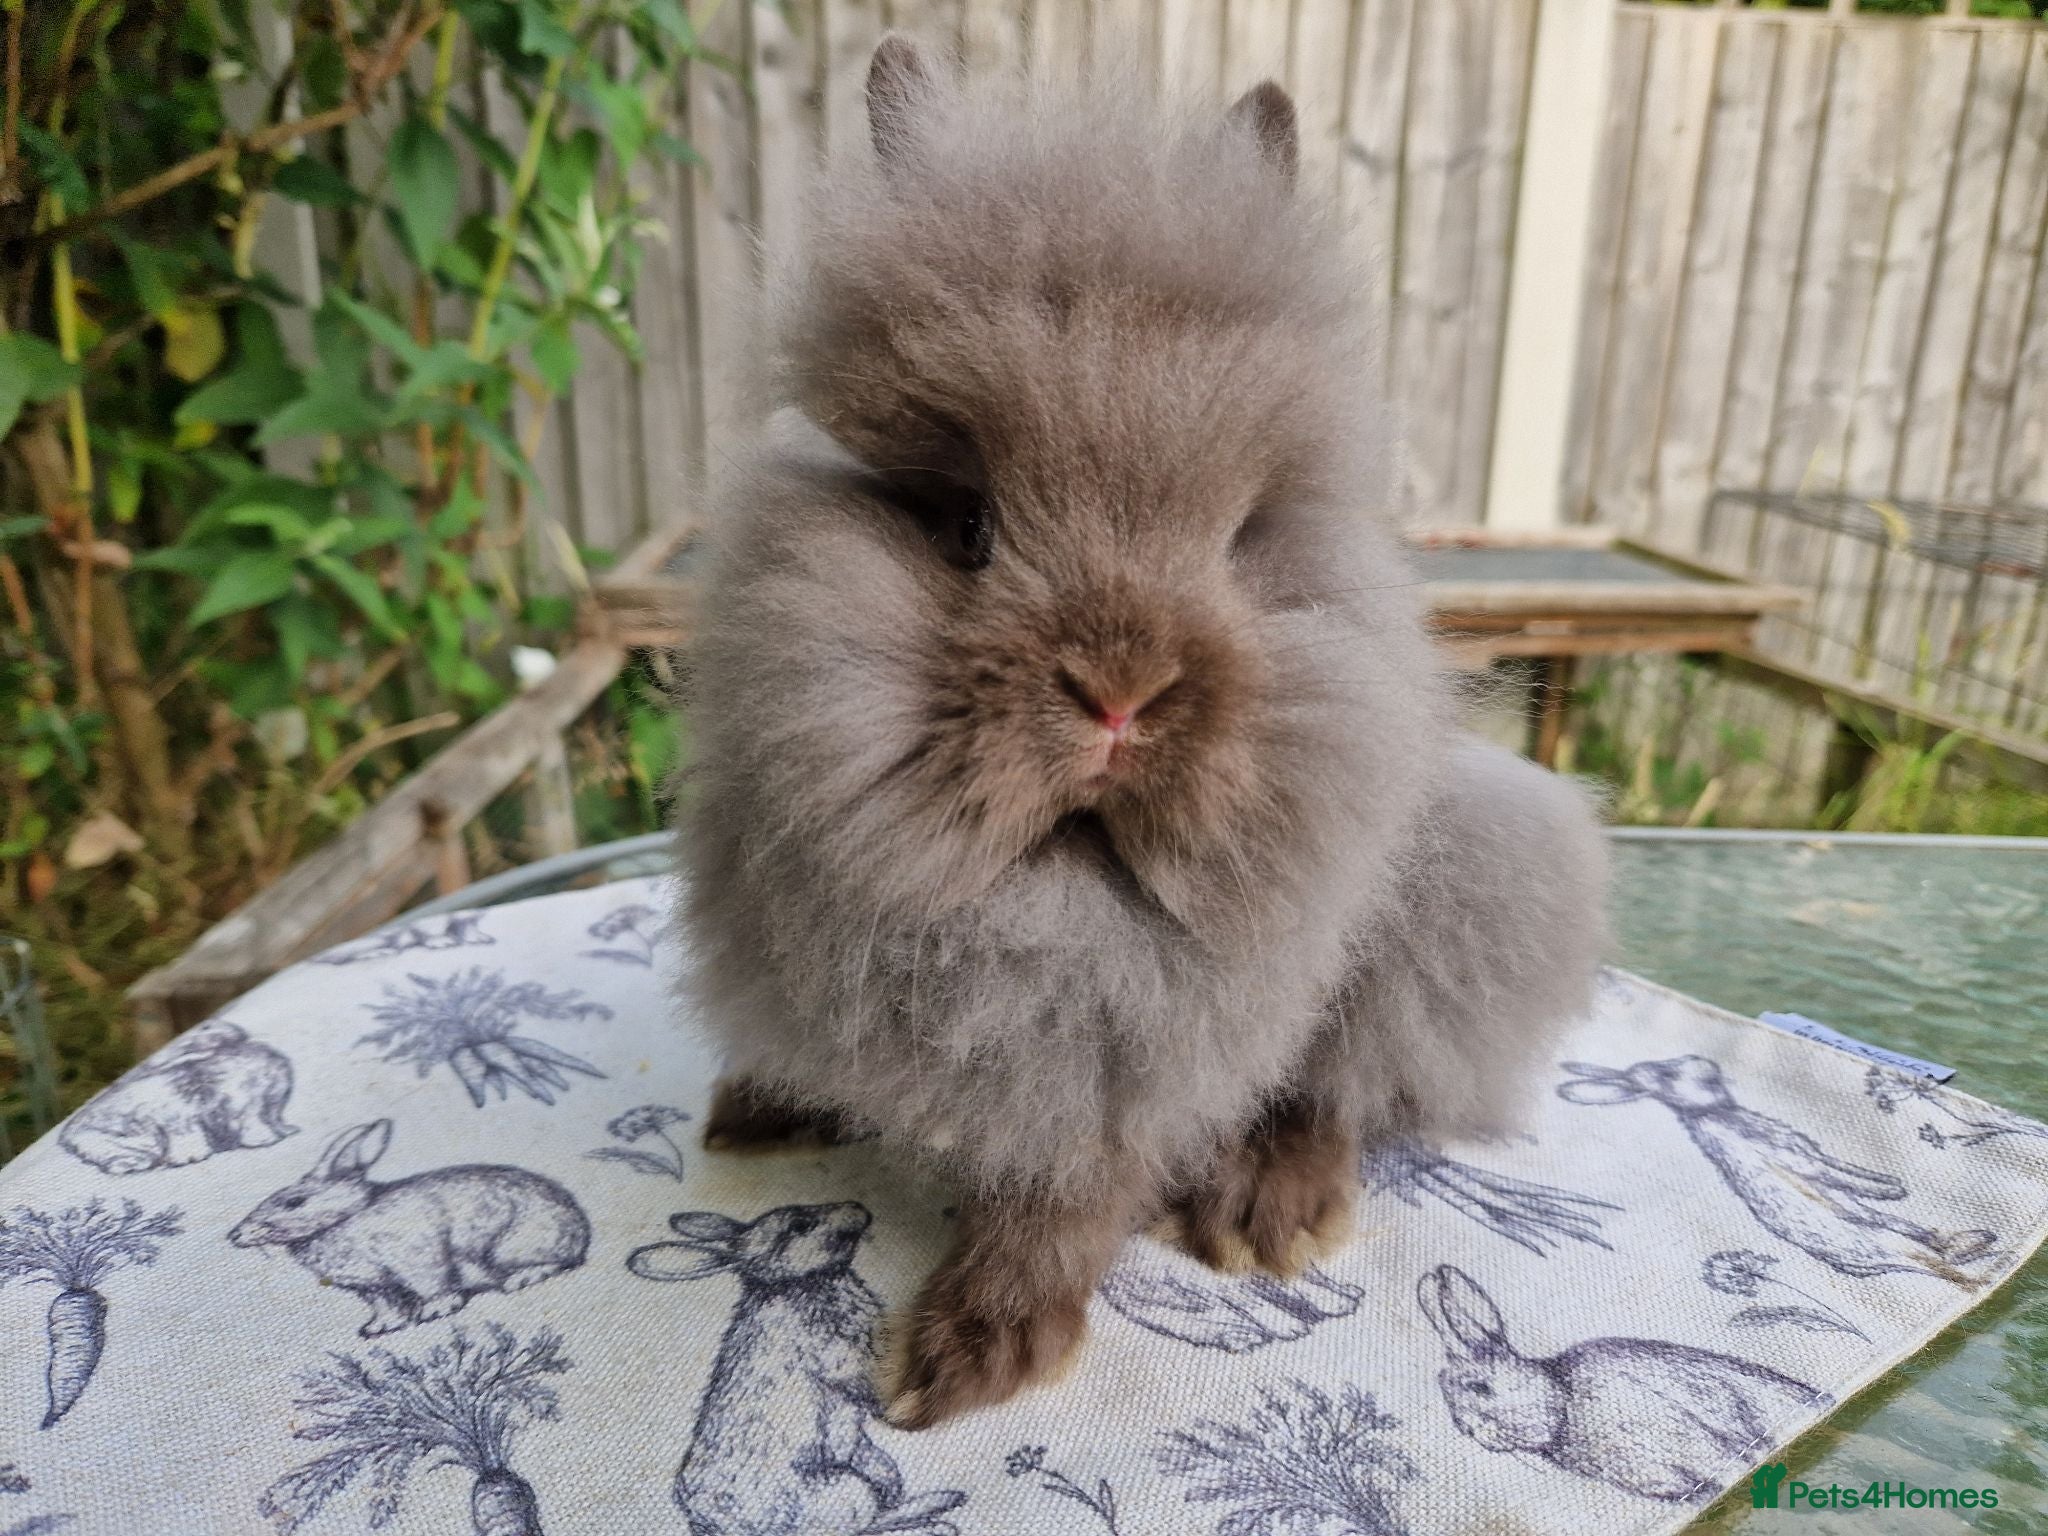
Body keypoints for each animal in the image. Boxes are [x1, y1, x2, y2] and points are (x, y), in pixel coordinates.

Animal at [59, 1018, 296, 1175]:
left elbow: (271, 1120)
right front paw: (266, 1140)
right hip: (131, 1136)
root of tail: (68, 1137)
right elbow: (254, 1124)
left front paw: (286, 1131)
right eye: (206, 1027)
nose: (234, 1030)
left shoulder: (266, 1106)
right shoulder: (241, 1107)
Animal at [228, 1119, 589, 1336]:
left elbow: (434, 1286)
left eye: (294, 1202)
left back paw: (522, 1279)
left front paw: (436, 1311)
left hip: (514, 1244)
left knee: (555, 1262)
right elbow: (386, 1306)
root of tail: (581, 1230)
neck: (345, 1217)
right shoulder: (375, 1289)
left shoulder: (418, 1258)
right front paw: (378, 1328)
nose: (234, 1235)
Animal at [629, 1202, 968, 1536]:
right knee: (863, 1524)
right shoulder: (840, 1360)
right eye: (800, 1225)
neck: (801, 1283)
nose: (859, 1208)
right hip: (845, 1493)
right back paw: (939, 1514)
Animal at [677, 34, 1608, 1426]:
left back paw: (1266, 1217)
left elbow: (1066, 1198)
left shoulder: (1126, 1071)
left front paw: (969, 1358)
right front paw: (762, 1106)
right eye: (969, 527)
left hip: (1469, 881)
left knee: (1341, 1085)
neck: (1046, 889)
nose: (1121, 693)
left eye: (1232, 542)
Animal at [1558, 1056, 2001, 1284]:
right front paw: (1890, 1189)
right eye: (1667, 1074)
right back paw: (1967, 1248)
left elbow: (1839, 1167)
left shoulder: (1808, 1148)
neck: (1714, 1112)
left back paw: (1971, 1244)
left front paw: (1889, 1183)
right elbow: (1830, 1174)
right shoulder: (1789, 1156)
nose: (1702, 1061)